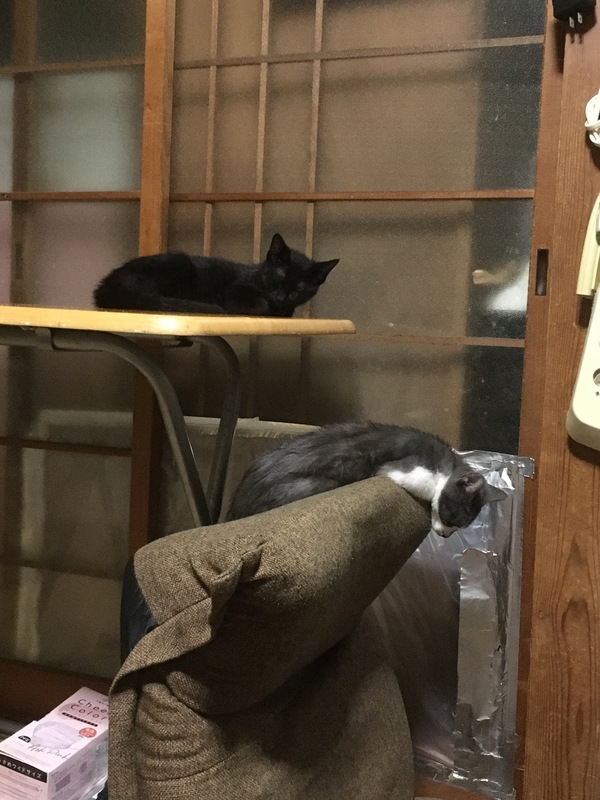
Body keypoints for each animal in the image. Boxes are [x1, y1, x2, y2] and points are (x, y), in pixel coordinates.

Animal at [93, 233, 338, 317]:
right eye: (279, 276)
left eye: (299, 288)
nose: (280, 297)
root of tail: (107, 283)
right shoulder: (234, 291)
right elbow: (259, 304)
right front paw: (265, 307)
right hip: (177, 264)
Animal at [226, 421, 506, 536]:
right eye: (452, 518)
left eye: (461, 526)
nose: (446, 536)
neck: (445, 463)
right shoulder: (405, 467)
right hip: (316, 483)